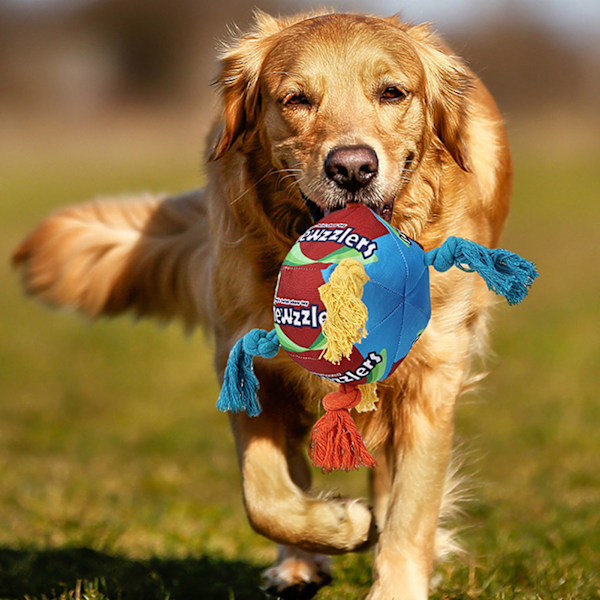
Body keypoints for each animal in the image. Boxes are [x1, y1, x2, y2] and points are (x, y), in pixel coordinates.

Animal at [12, 10, 510, 600]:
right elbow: (265, 498)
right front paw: (338, 523)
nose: (352, 167)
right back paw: (300, 563)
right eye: (296, 99)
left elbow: (411, 509)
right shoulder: (248, 363)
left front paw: (395, 580)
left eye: (393, 93)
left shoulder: (430, 377)